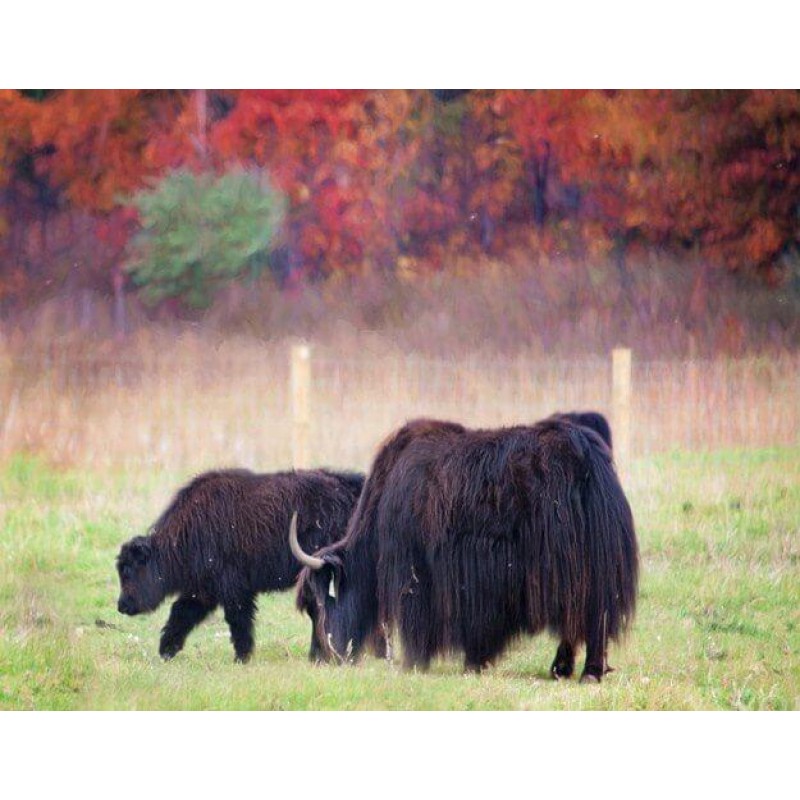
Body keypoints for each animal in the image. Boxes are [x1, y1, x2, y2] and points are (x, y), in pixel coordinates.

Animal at [116, 468, 364, 662]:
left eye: (128, 571)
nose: (121, 605)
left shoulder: (233, 591)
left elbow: (238, 621)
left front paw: (242, 657)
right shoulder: (203, 591)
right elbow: (181, 614)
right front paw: (166, 651)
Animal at [293, 417, 637, 682]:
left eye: (317, 605)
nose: (318, 659)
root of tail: (589, 457)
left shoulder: (415, 571)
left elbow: (418, 619)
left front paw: (415, 663)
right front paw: (474, 662)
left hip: (572, 569)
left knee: (586, 617)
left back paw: (584, 672)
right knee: (589, 616)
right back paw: (567, 670)